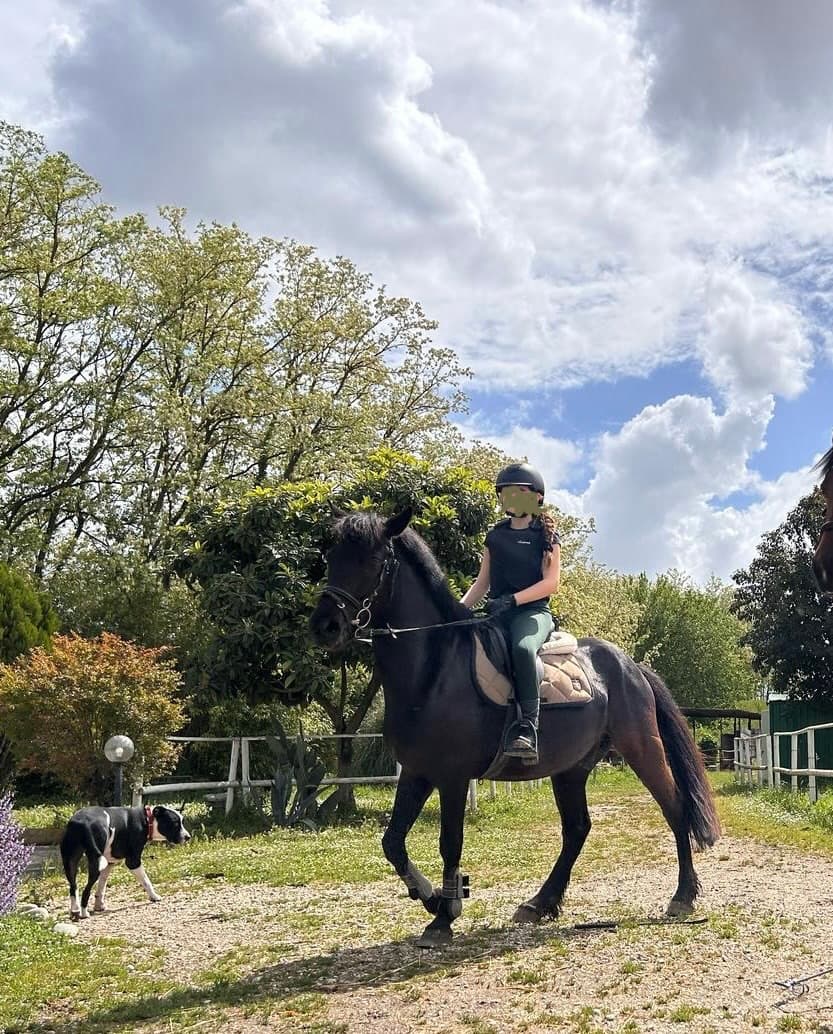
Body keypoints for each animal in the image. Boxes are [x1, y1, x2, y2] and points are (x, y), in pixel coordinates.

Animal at [309, 509, 720, 947]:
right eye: (331, 557)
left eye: (371, 560)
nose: (324, 625)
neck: (434, 668)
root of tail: (630, 666)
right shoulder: (417, 772)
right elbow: (393, 842)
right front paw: (433, 898)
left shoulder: (452, 776)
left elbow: (449, 843)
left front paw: (444, 916)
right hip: (572, 768)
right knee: (577, 828)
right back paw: (540, 904)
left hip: (641, 748)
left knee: (674, 807)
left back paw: (683, 896)